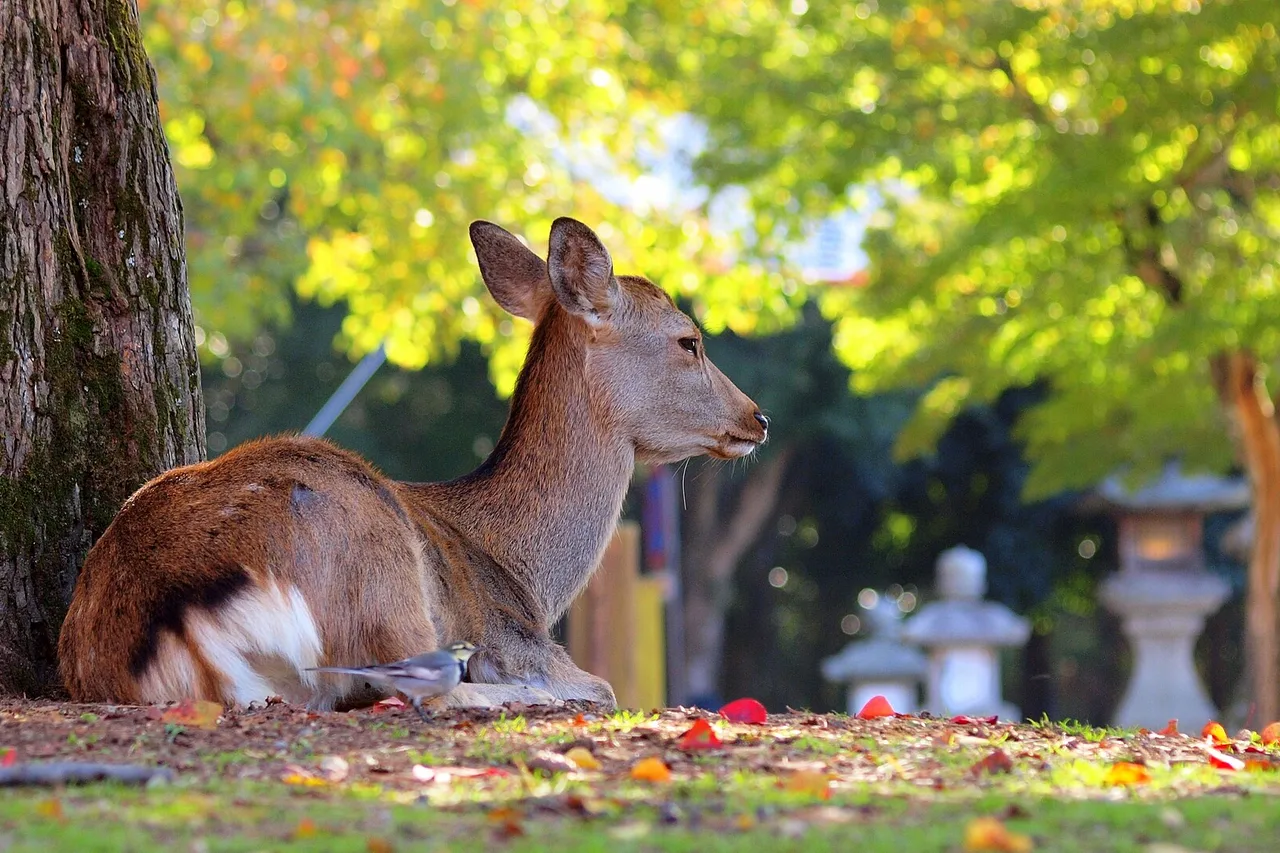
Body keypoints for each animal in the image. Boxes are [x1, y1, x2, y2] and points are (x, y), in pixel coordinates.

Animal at [57, 216, 769, 712]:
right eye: (689, 341)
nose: (758, 418)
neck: (525, 577)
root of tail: (172, 615)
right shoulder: (517, 639)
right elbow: (603, 685)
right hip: (382, 576)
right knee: (424, 687)